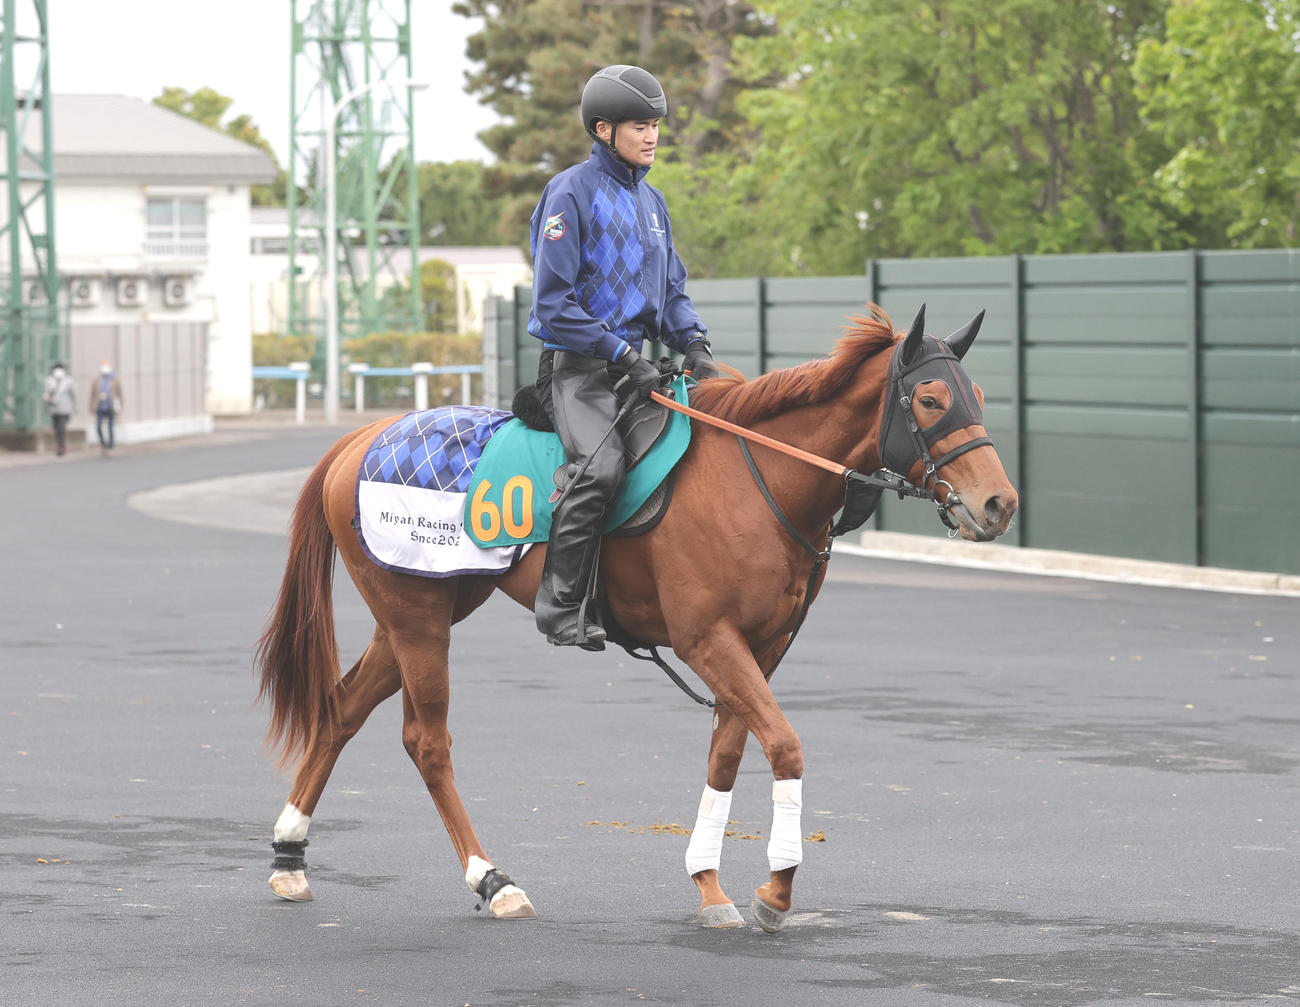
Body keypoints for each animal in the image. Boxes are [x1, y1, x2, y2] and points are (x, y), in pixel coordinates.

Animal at [254, 304, 1018, 932]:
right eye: (930, 399)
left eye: (978, 396)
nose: (999, 504)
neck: (756, 476)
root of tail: (360, 439)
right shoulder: (708, 641)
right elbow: (784, 745)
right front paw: (775, 890)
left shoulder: (759, 649)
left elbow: (727, 753)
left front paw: (710, 885)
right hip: (417, 620)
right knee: (426, 741)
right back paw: (493, 880)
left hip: (424, 608)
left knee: (342, 709)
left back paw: (290, 856)